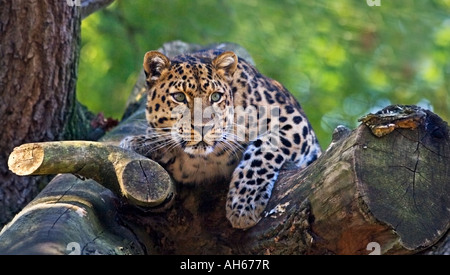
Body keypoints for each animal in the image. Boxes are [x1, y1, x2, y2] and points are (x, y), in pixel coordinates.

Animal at [121, 48, 322, 230]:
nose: (203, 127)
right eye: (179, 97)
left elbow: (263, 148)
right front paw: (140, 142)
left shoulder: (294, 122)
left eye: (216, 96)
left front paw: (244, 203)